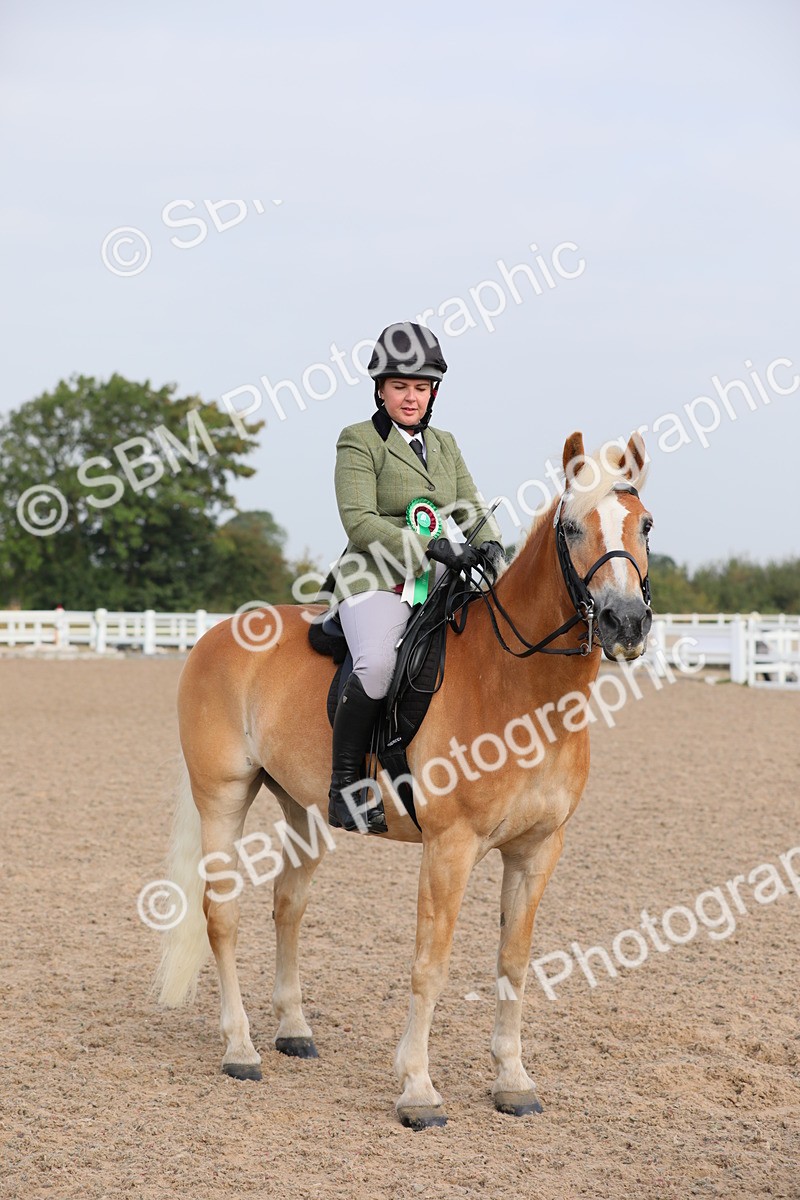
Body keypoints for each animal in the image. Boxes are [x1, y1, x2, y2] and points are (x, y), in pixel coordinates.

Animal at [154, 430, 653, 1130]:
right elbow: (429, 965)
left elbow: (514, 963)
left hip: (306, 810)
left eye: (646, 524)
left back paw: (292, 1030)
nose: (625, 623)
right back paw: (241, 1047)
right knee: (221, 913)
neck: (520, 688)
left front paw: (513, 1081)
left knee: (288, 906)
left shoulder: (537, 850)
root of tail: (215, 635)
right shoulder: (450, 848)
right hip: (223, 797)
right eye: (573, 526)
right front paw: (418, 1089)